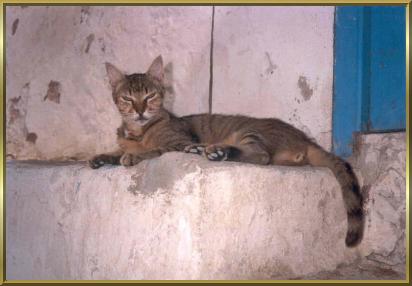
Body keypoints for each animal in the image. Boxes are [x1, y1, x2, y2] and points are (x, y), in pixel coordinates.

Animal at [89, 55, 364, 248]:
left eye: (149, 96)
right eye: (127, 99)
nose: (140, 111)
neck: (138, 131)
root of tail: (304, 138)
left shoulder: (175, 143)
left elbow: (152, 150)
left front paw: (133, 155)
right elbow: (114, 151)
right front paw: (102, 157)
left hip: (250, 132)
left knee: (262, 156)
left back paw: (217, 151)